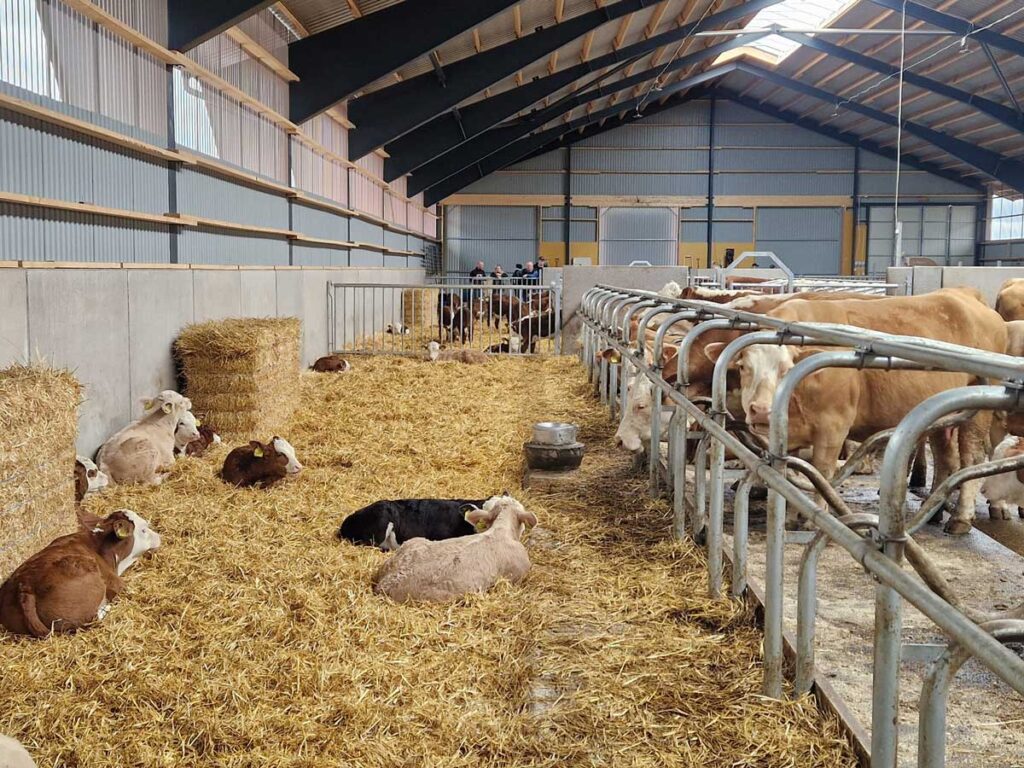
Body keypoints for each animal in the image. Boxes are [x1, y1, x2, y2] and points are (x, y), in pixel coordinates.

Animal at [702, 288, 1006, 533]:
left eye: (787, 368)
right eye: (744, 367)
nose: (763, 411)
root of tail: (967, 298)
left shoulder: (834, 427)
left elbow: (821, 472)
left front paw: (812, 520)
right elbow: (796, 472)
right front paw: (790, 518)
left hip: (978, 411)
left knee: (972, 458)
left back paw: (960, 519)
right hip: (941, 418)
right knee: (946, 459)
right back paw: (932, 513)